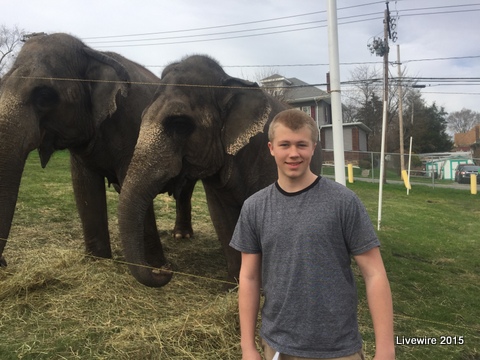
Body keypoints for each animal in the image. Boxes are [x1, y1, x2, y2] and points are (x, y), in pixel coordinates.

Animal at [0, 33, 195, 270]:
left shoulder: (133, 127)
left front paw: (156, 268)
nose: (4, 262)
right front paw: (98, 260)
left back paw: (182, 236)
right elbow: (84, 186)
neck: (93, 53)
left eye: (44, 95)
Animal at [117, 55, 322, 286]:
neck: (227, 83)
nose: (166, 269)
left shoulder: (267, 160)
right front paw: (234, 284)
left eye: (179, 124)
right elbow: (222, 217)